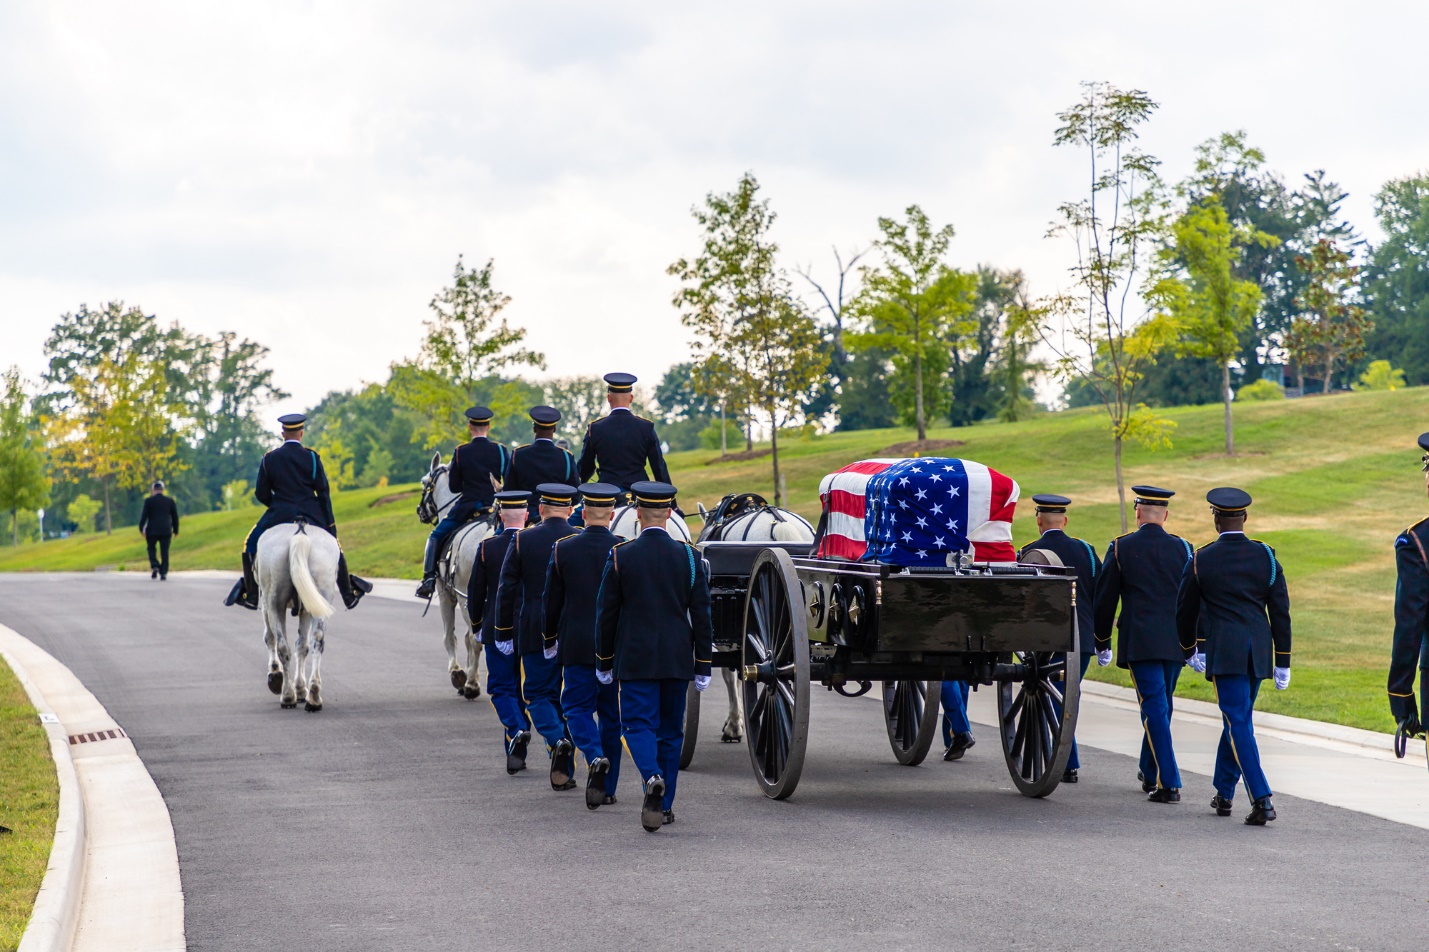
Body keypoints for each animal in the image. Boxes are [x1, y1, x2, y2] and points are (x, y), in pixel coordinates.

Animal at [257, 523, 340, 708]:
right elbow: (302, 646)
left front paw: (275, 675)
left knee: (282, 646)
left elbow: (269, 637)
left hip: (274, 604)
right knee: (317, 641)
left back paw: (287, 695)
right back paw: (314, 696)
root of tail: (300, 532)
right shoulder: (306, 609)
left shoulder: (265, 603)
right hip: (320, 594)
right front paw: (301, 689)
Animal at [417, 451, 494, 697]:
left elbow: (450, 636)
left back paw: (470, 685)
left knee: (474, 638)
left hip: (466, 599)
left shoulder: (446, 595)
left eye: (424, 482)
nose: (420, 511)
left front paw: (458, 673)